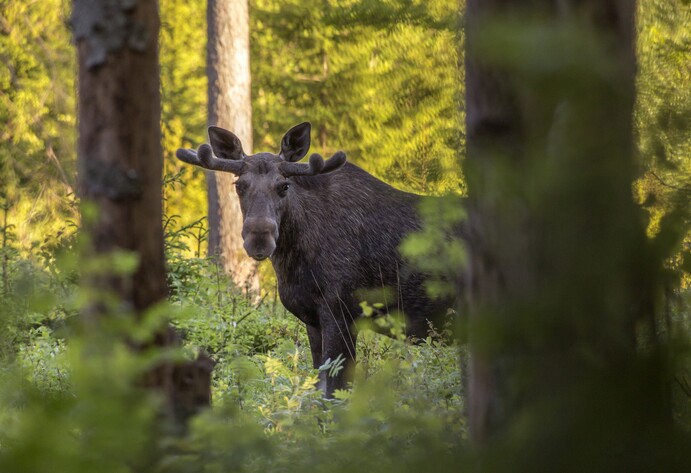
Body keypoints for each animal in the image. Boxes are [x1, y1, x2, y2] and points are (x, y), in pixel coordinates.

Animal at [176, 121, 462, 394]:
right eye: (239, 185)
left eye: (284, 186)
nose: (259, 238)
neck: (294, 263)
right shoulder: (313, 319)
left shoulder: (342, 312)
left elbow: (334, 392)